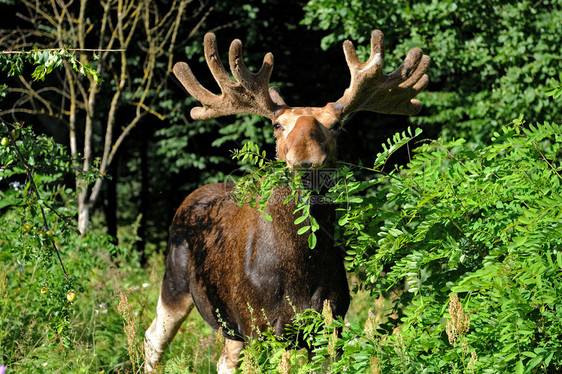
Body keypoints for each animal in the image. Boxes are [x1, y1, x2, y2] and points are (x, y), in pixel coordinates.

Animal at [144, 30, 428, 374]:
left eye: (337, 126)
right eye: (278, 125)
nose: (306, 160)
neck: (300, 271)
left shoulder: (331, 321)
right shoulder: (258, 324)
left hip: (230, 325)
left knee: (223, 360)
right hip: (175, 281)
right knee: (153, 339)